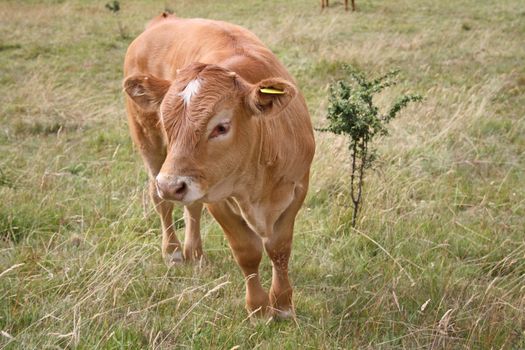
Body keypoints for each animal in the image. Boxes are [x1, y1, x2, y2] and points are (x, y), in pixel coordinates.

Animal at [121, 14, 314, 320]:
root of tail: (163, 21)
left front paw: (283, 305)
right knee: (161, 202)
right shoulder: (218, 198)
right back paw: (174, 251)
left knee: (191, 207)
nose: (171, 185)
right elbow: (247, 251)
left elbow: (279, 248)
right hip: (150, 147)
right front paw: (259, 309)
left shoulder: (298, 188)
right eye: (165, 122)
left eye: (221, 127)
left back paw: (196, 253)